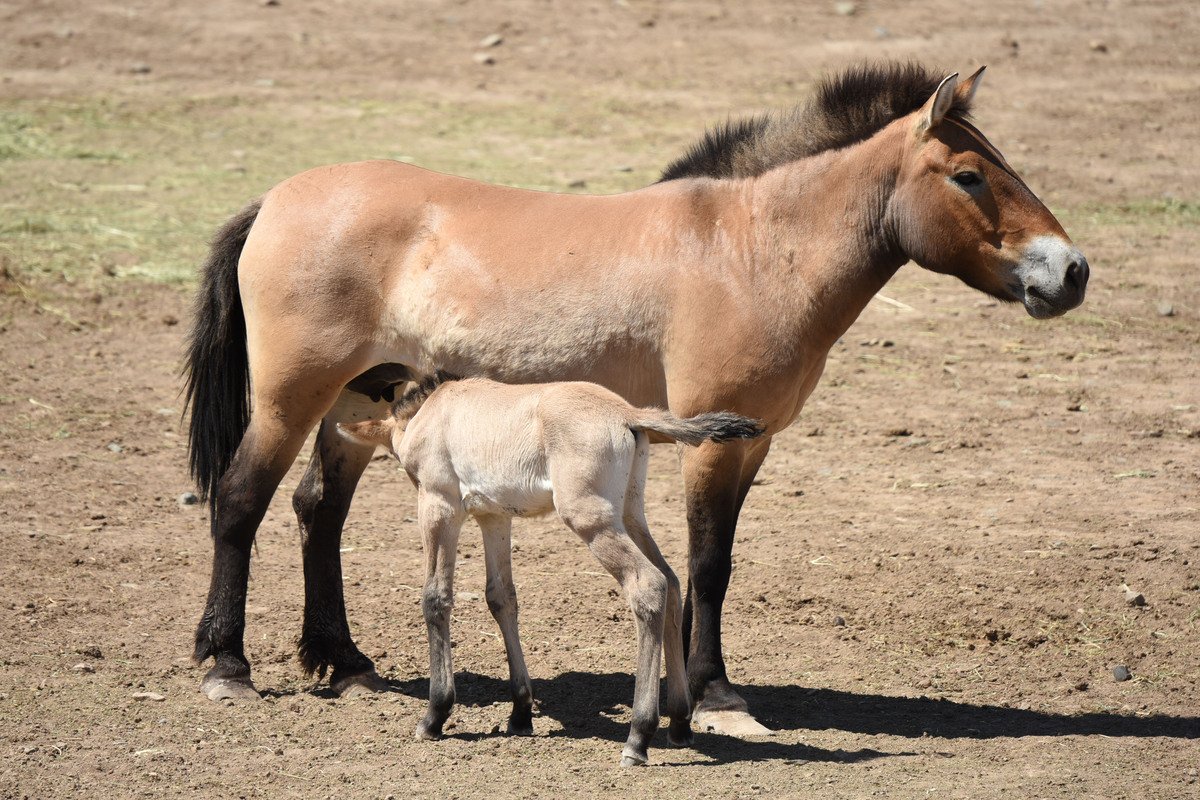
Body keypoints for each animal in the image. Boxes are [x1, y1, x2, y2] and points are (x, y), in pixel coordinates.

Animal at [339, 374, 763, 764]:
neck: (435, 411)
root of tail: (627, 413)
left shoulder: (440, 506)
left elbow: (435, 598)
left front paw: (435, 715)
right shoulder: (494, 517)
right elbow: (501, 598)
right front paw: (521, 713)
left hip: (589, 518)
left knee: (648, 585)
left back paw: (638, 737)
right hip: (628, 513)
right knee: (672, 582)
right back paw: (678, 723)